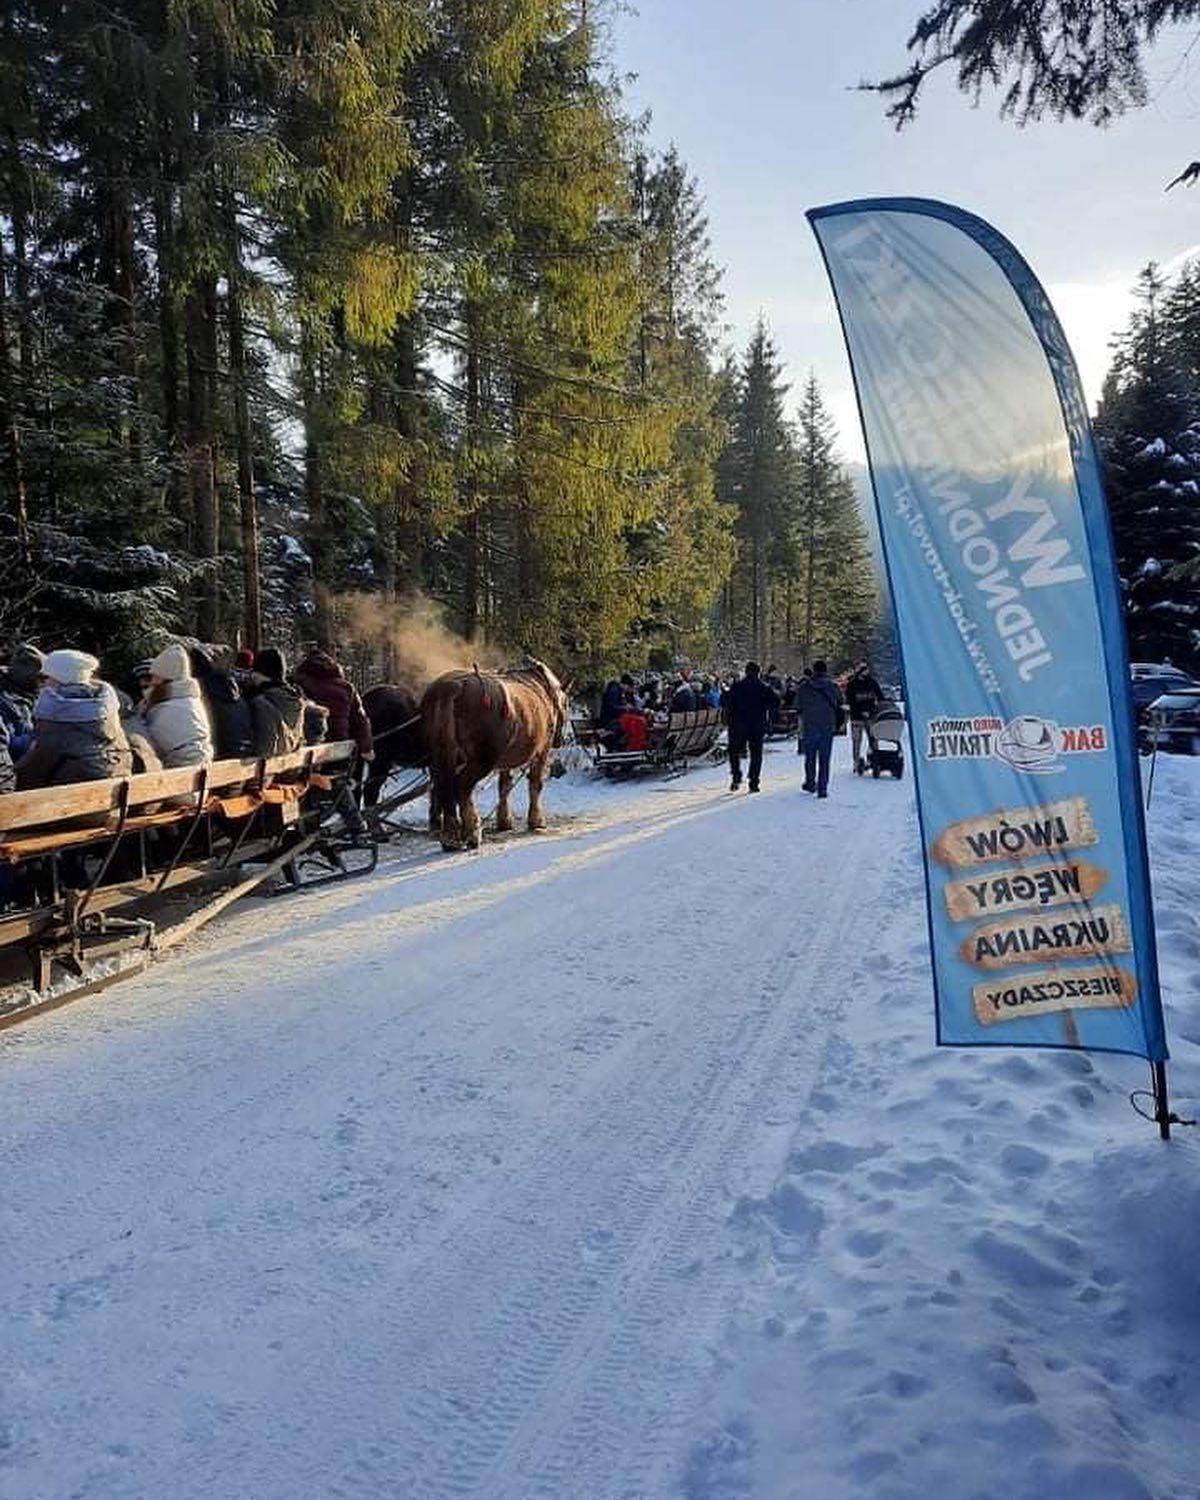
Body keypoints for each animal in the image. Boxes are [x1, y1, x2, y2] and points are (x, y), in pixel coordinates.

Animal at [423, 663, 573, 852]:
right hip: (482, 760)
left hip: (441, 756)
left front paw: (504, 821)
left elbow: (504, 786)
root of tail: (451, 688)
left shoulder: (505, 761)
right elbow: (536, 784)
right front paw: (537, 821)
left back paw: (451, 837)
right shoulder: (541, 752)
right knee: (461, 787)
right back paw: (472, 832)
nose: (561, 740)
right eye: (567, 704)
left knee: (443, 788)